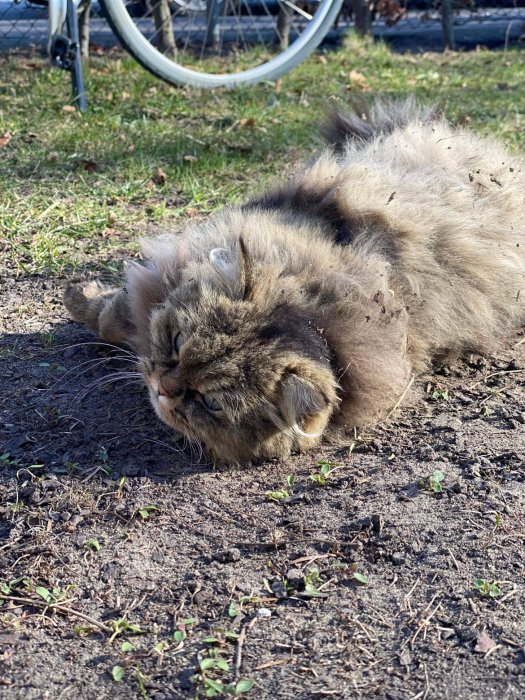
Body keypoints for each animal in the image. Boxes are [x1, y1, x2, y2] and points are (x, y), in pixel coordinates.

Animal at [62, 97, 524, 460]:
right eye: (176, 342)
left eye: (209, 403)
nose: (162, 387)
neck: (321, 315)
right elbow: (115, 312)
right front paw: (77, 296)